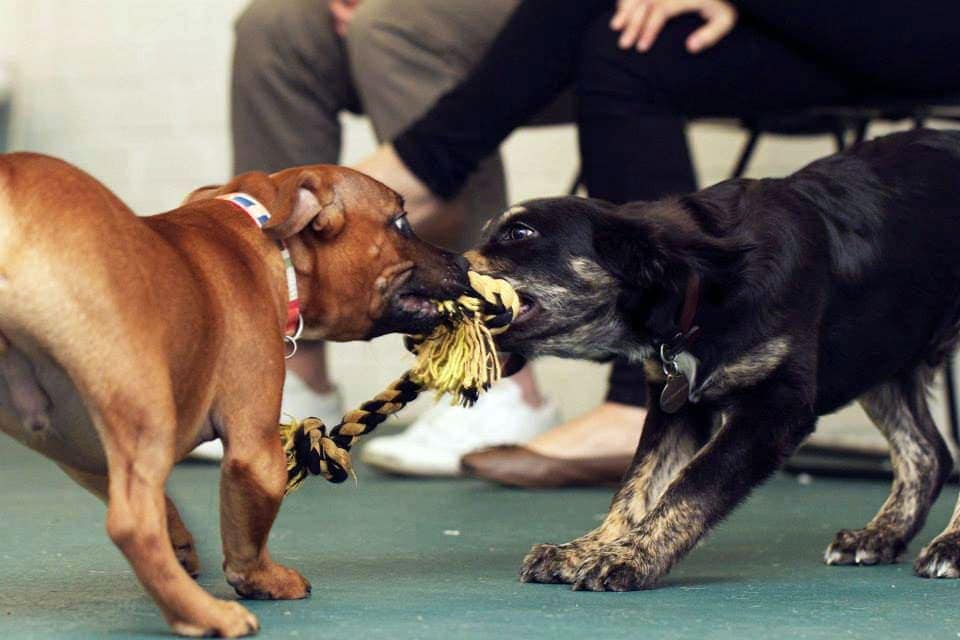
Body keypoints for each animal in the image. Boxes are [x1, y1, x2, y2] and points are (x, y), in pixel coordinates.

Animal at [0, 154, 464, 636]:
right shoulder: (255, 449)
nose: (462, 261)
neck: (270, 249)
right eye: (401, 223)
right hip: (145, 406)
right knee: (133, 526)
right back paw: (205, 614)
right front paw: (263, 578)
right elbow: (247, 535)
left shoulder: (84, 453)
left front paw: (181, 543)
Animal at [468, 127, 960, 592]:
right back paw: (879, 536)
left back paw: (948, 547)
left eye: (520, 234)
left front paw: (630, 557)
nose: (448, 263)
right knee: (929, 453)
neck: (703, 287)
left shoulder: (775, 408)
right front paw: (587, 549)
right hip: (881, 352)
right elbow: (639, 485)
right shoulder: (676, 405)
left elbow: (693, 484)